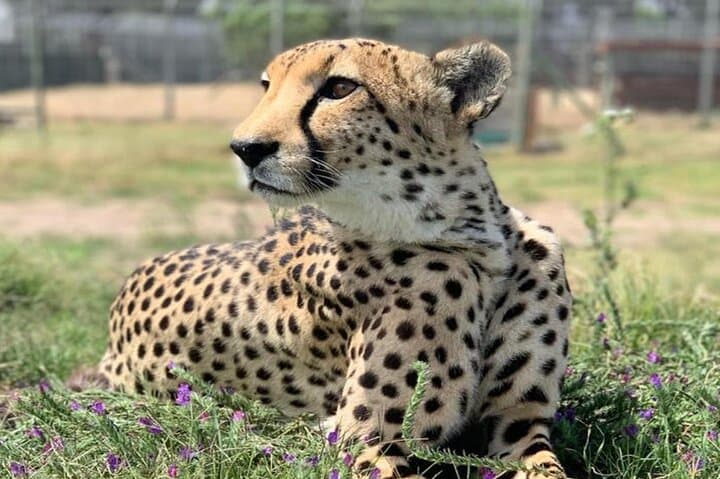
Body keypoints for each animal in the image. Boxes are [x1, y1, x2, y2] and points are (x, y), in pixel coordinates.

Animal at [92, 38, 572, 479]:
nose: (245, 148)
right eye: (266, 86)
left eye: (340, 88)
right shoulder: (365, 438)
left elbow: (548, 467)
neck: (475, 240)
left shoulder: (519, 422)